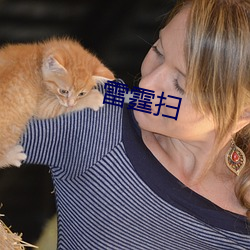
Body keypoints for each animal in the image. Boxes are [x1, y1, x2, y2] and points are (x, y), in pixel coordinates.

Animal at [0, 38, 114, 169]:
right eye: (63, 91)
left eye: (81, 93)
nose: (70, 103)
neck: (39, 59)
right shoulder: (42, 104)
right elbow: (59, 107)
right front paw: (94, 98)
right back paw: (14, 156)